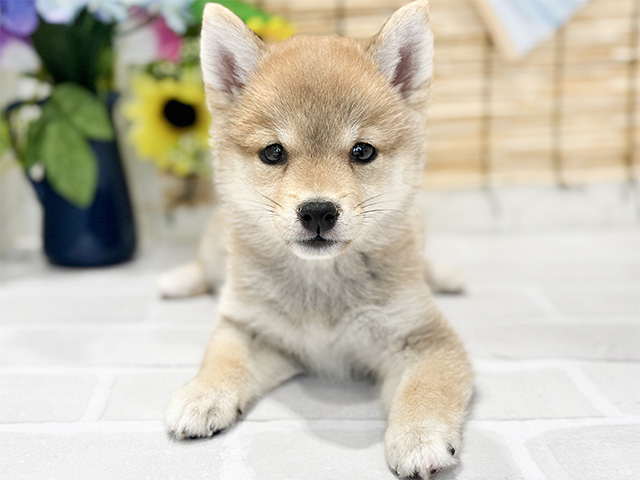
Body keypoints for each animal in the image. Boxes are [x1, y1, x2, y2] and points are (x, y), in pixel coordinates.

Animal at [164, 1, 476, 478]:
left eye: (362, 151)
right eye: (273, 152)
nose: (317, 211)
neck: (321, 286)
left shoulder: (423, 338)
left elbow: (426, 388)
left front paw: (420, 436)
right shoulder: (250, 327)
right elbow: (221, 358)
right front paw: (203, 394)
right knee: (205, 267)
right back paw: (177, 280)